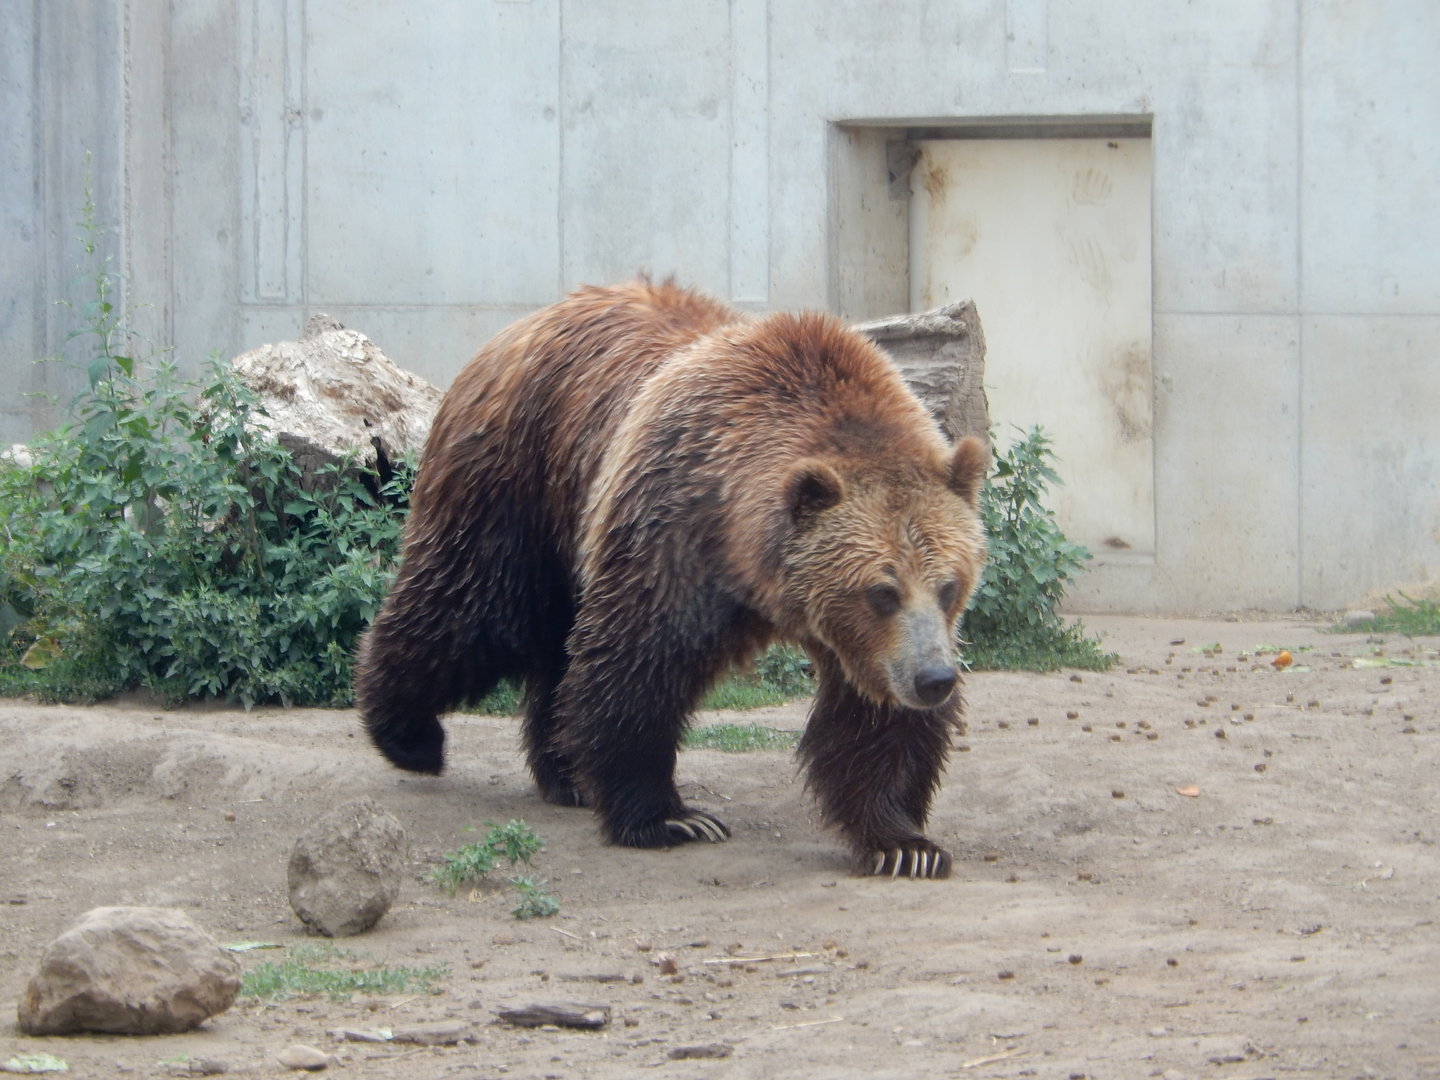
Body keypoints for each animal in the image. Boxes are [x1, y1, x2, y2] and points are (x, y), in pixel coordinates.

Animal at [355, 280, 988, 878]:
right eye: (882, 591)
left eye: (949, 586)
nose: (934, 679)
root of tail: (522, 325)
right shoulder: (675, 527)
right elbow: (638, 664)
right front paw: (670, 817)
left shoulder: (860, 638)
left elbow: (873, 719)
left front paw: (904, 844)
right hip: (518, 478)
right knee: (472, 606)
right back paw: (409, 736)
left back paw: (566, 774)